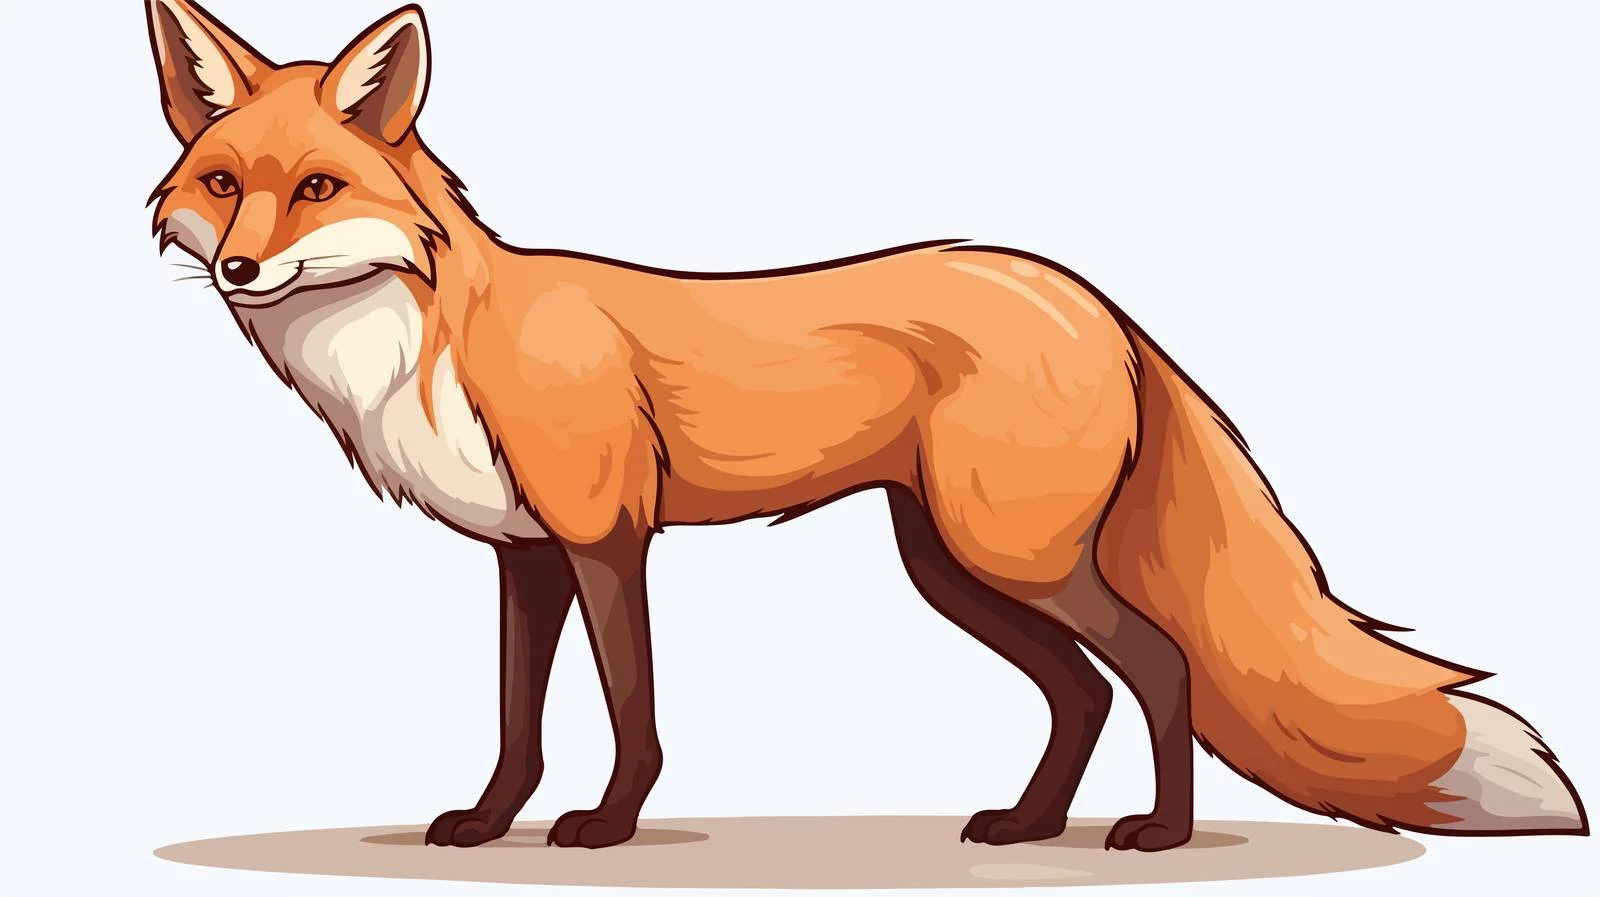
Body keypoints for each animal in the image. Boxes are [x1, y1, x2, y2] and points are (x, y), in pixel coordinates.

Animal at [144, 0, 1586, 853]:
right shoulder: (525, 558)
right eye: (221, 186)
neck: (434, 341)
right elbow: (515, 721)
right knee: (1081, 690)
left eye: (317, 188)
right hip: (951, 565)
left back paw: (1159, 835)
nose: (241, 271)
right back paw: (1027, 825)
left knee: (1158, 665)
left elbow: (629, 707)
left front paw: (605, 824)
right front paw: (493, 821)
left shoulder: (607, 540)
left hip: (1009, 558)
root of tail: (1087, 296)